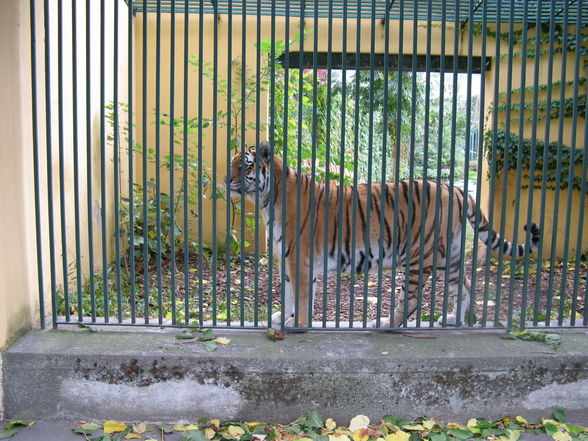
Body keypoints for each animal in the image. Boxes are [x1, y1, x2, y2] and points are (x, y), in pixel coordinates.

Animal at [227, 141, 540, 326]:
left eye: (244, 165)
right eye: (232, 163)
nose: (225, 179)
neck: (267, 198)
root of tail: (457, 190)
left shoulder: (299, 260)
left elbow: (302, 297)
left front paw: (298, 326)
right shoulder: (289, 259)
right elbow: (290, 294)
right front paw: (281, 318)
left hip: (418, 255)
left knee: (411, 299)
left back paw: (386, 324)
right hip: (447, 258)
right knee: (464, 286)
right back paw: (451, 319)